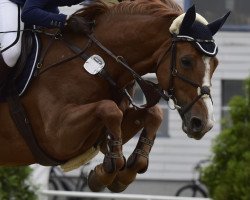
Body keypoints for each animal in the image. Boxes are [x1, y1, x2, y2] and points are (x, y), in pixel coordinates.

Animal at [0, 0, 229, 193]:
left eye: (215, 63)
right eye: (186, 61)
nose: (204, 123)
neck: (97, 63)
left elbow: (153, 114)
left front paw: (125, 173)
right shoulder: (56, 136)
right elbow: (108, 109)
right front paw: (105, 172)